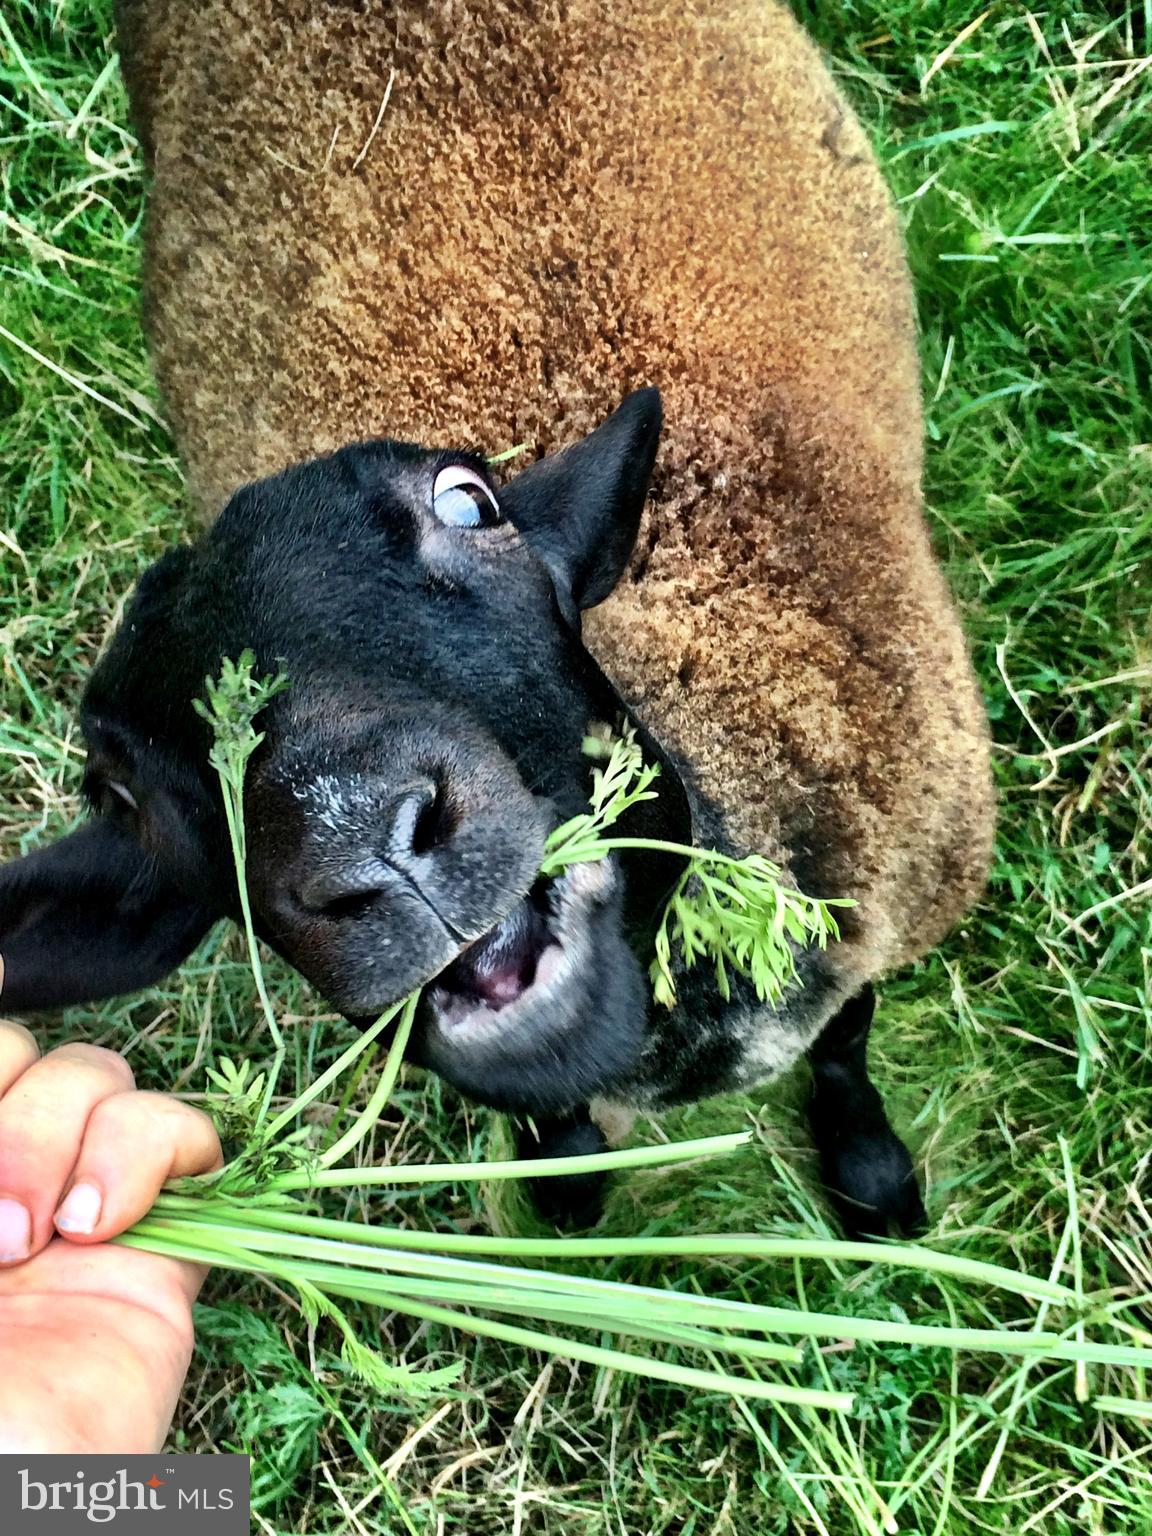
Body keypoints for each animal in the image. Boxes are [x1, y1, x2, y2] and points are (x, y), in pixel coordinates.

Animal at [0, 0, 993, 1236]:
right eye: (121, 793)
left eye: (469, 501)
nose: (360, 838)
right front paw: (567, 1183)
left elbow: (848, 1042)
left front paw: (873, 1179)